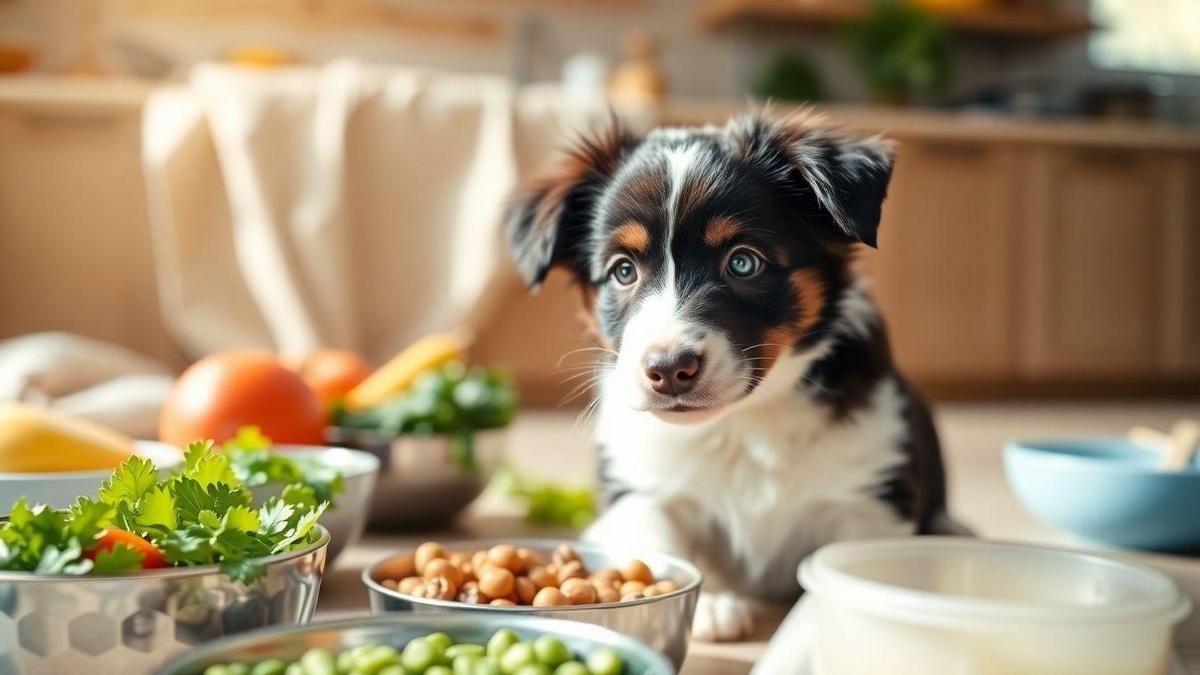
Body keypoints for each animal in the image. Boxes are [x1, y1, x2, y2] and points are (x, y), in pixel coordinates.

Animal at [506, 111, 955, 638]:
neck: (743, 423)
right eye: (623, 271)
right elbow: (660, 546)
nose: (668, 369)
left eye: (743, 262)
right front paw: (712, 605)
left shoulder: (869, 501)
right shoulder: (639, 487)